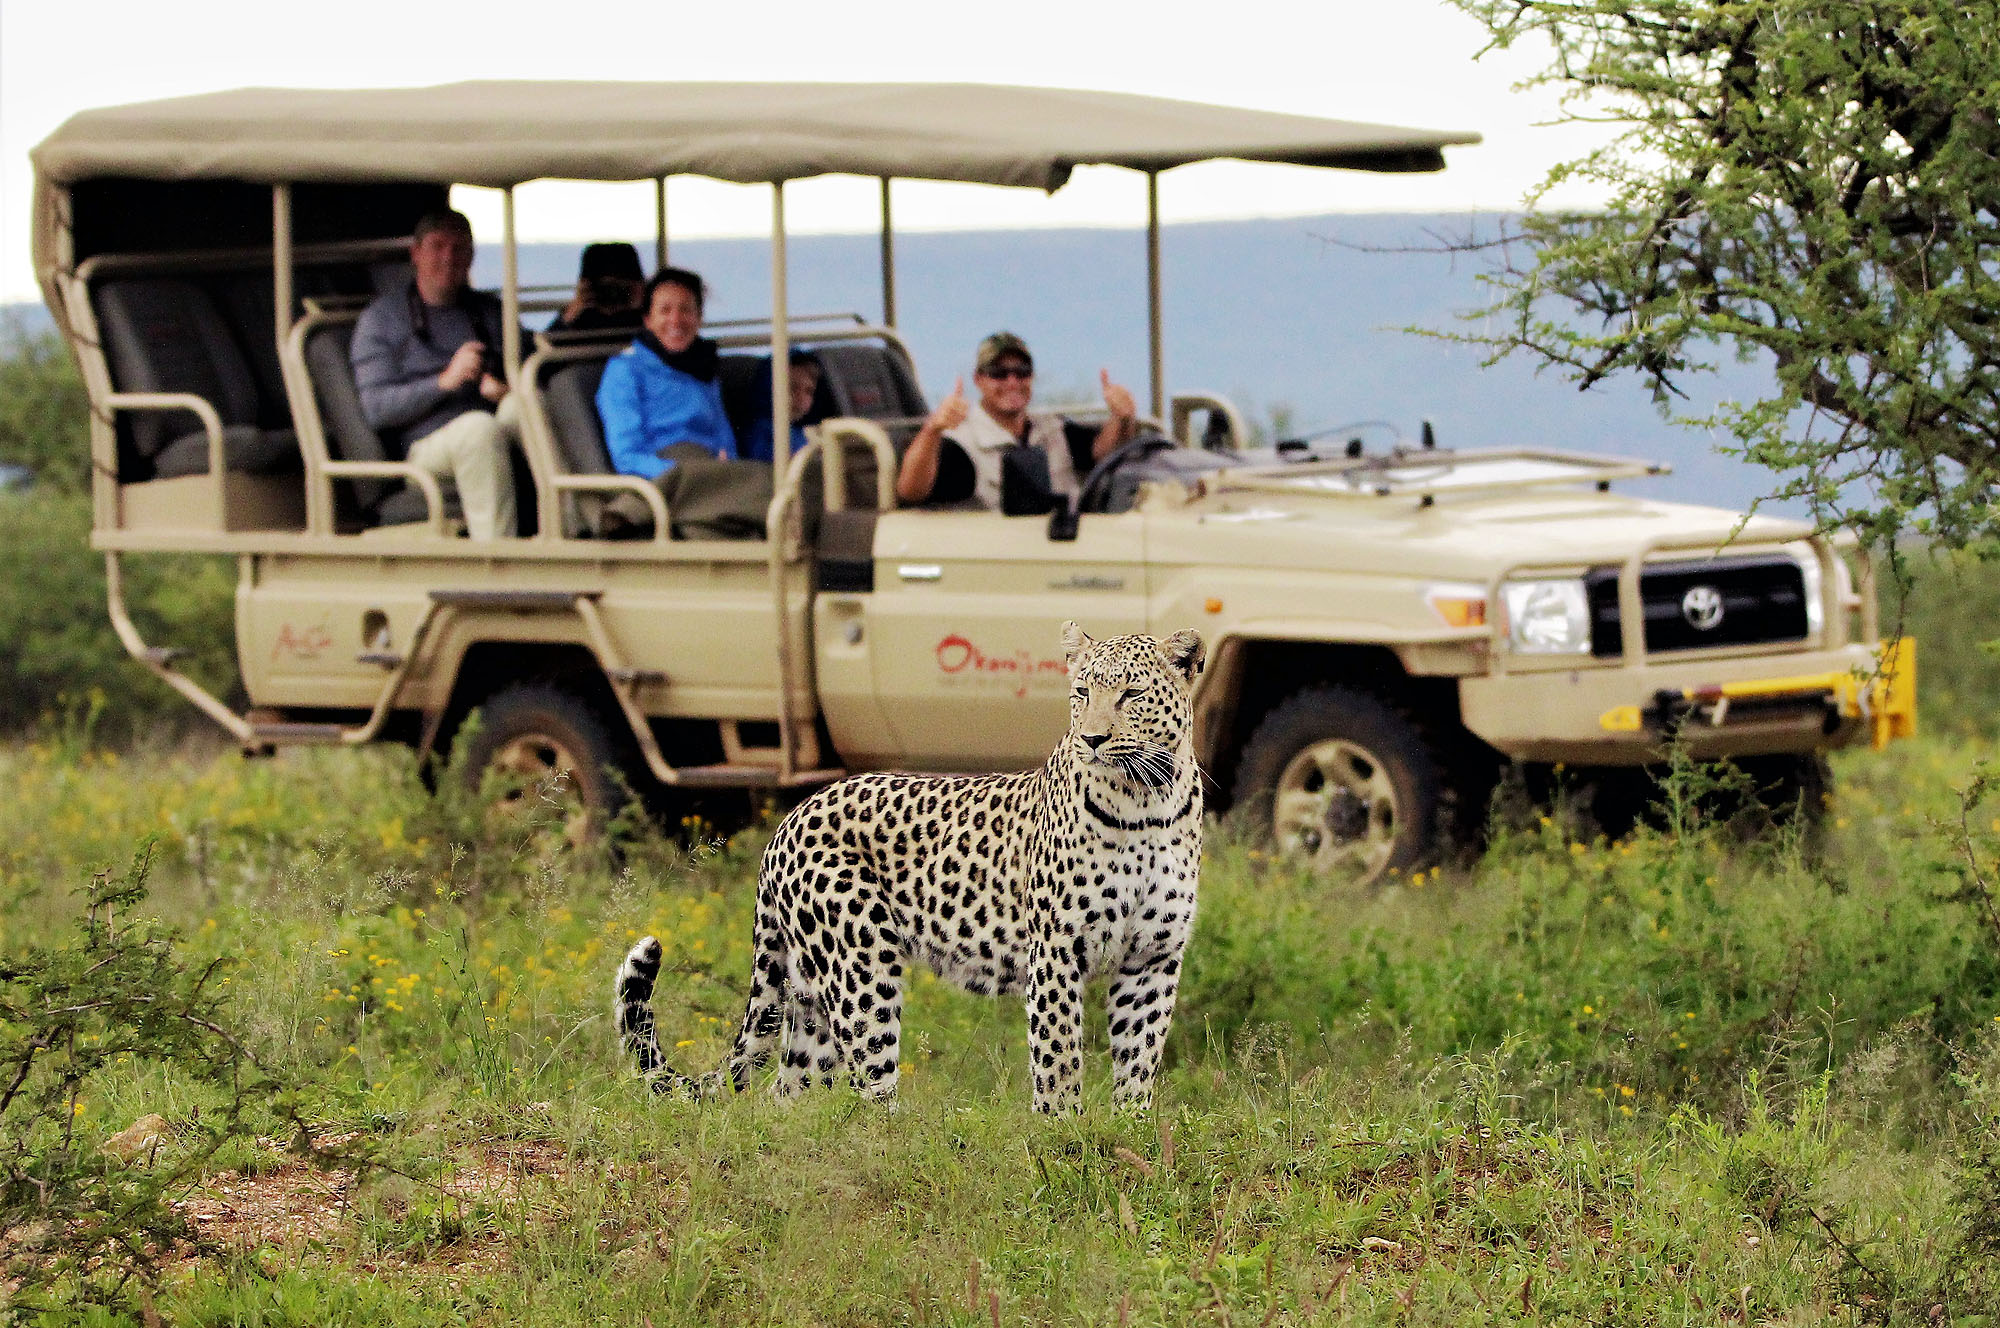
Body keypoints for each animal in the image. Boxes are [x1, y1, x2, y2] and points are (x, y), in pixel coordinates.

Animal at [613, 620, 1205, 1113]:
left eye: (1131, 695)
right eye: (1082, 693)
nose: (1092, 739)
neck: (1145, 803)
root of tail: (789, 820)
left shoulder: (1153, 958)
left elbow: (1139, 1060)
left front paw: (1129, 1131)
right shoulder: (1058, 950)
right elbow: (1058, 1060)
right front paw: (1061, 1136)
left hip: (810, 992)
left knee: (790, 1092)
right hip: (861, 963)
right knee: (871, 1088)